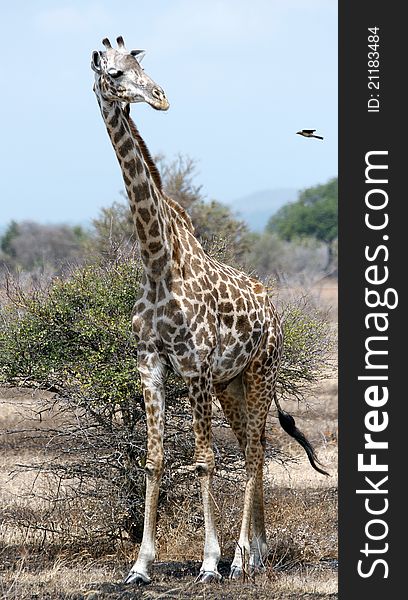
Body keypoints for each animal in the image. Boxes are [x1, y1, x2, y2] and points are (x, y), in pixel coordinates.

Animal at [91, 35, 326, 584]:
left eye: (139, 65)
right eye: (115, 72)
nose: (160, 97)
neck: (157, 261)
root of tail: (275, 309)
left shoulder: (194, 364)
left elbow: (202, 459)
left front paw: (209, 562)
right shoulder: (151, 362)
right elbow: (154, 459)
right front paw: (140, 566)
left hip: (260, 371)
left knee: (256, 449)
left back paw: (240, 558)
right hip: (230, 382)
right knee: (250, 447)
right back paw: (256, 552)